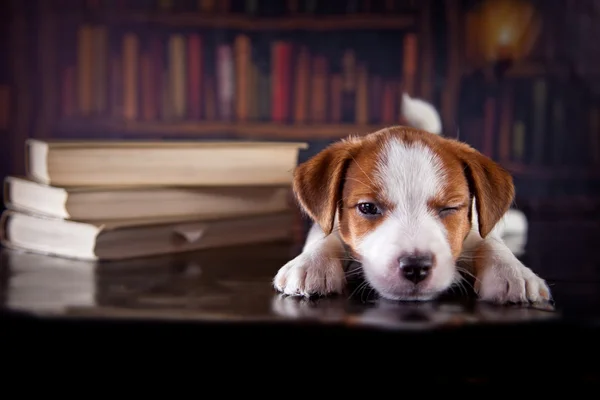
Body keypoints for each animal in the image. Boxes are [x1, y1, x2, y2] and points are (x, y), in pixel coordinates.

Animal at [274, 94, 552, 304]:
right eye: (368, 207)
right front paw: (312, 263)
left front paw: (512, 271)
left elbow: (489, 241)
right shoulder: (326, 222)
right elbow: (325, 235)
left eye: (450, 208)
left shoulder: (475, 227)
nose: (416, 267)